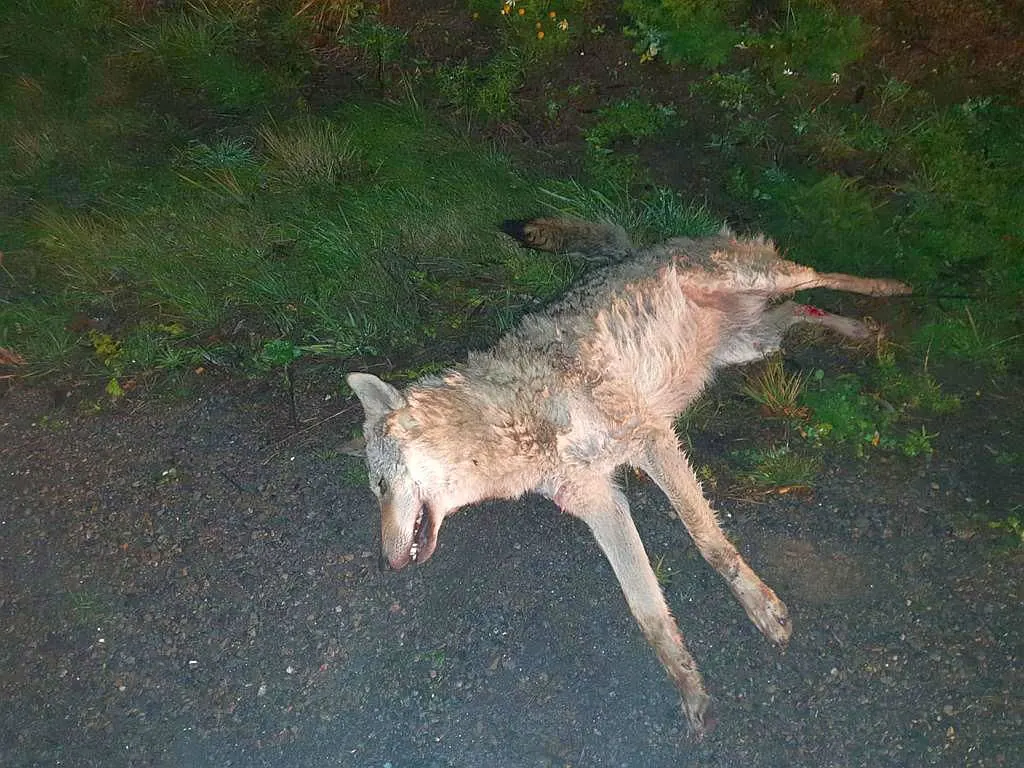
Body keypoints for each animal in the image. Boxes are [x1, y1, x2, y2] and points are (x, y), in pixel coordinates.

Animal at [347, 216, 910, 737]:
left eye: (379, 487)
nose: (385, 564)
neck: (512, 419)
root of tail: (638, 249)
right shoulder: (600, 502)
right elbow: (647, 610)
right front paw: (690, 687)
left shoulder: (651, 439)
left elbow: (708, 541)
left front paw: (762, 608)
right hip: (752, 343)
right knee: (799, 309)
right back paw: (857, 328)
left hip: (758, 281)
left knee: (819, 274)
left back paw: (892, 288)